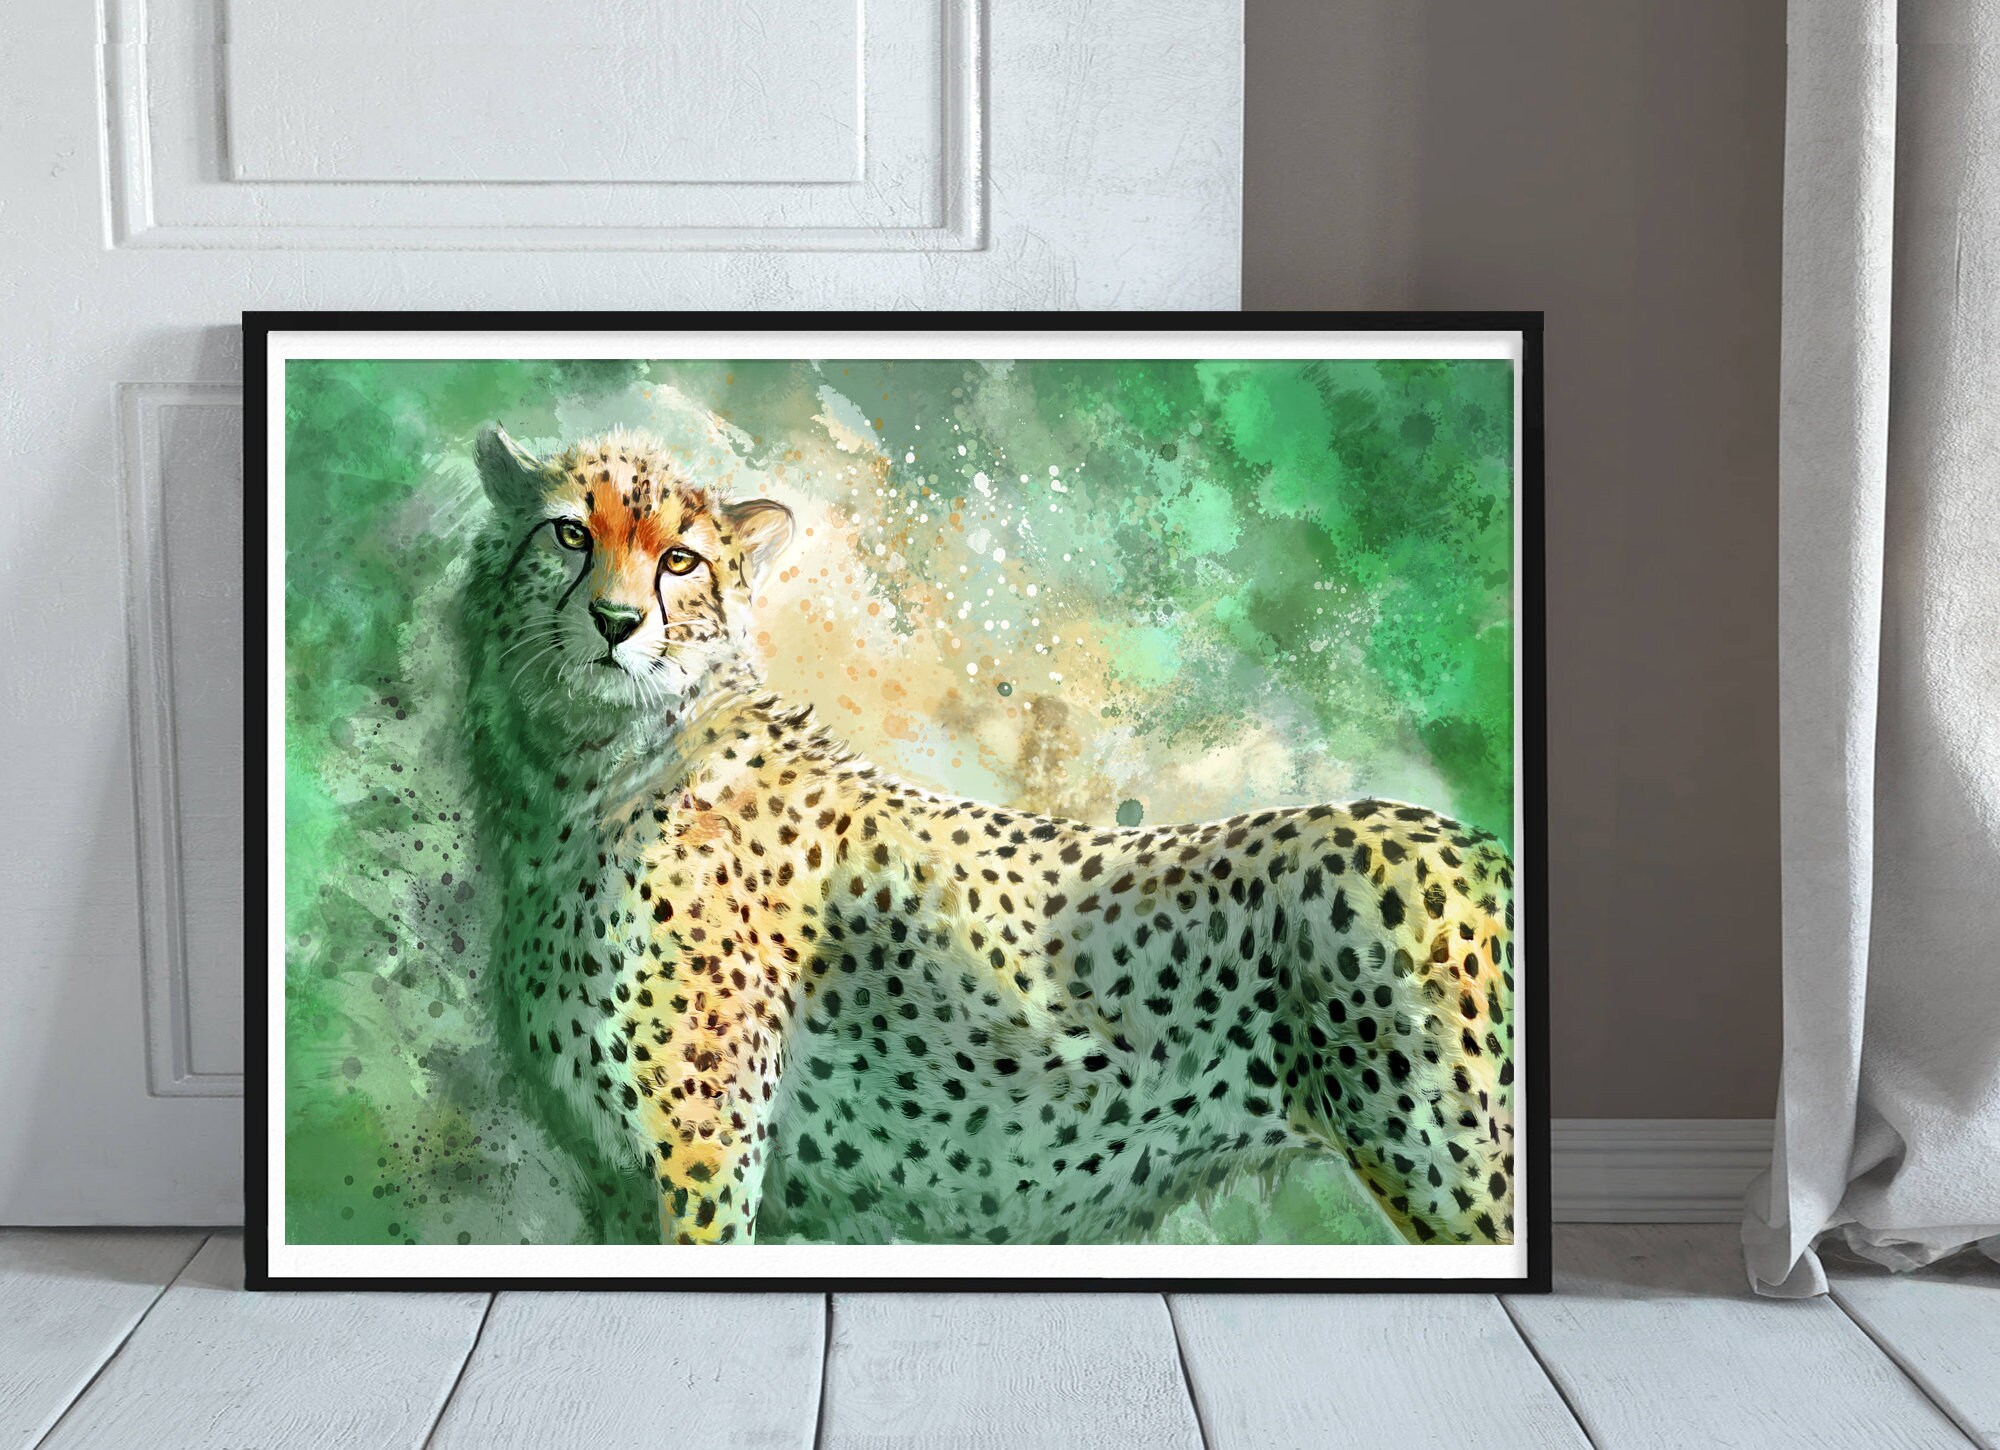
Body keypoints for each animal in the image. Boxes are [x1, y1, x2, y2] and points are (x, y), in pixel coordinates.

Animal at [459, 424, 1516, 1248]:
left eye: (680, 560)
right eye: (568, 533)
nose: (615, 621)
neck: (590, 768)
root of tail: (1471, 841)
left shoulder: (702, 1171)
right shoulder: (616, 1187)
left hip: (1456, 1175)